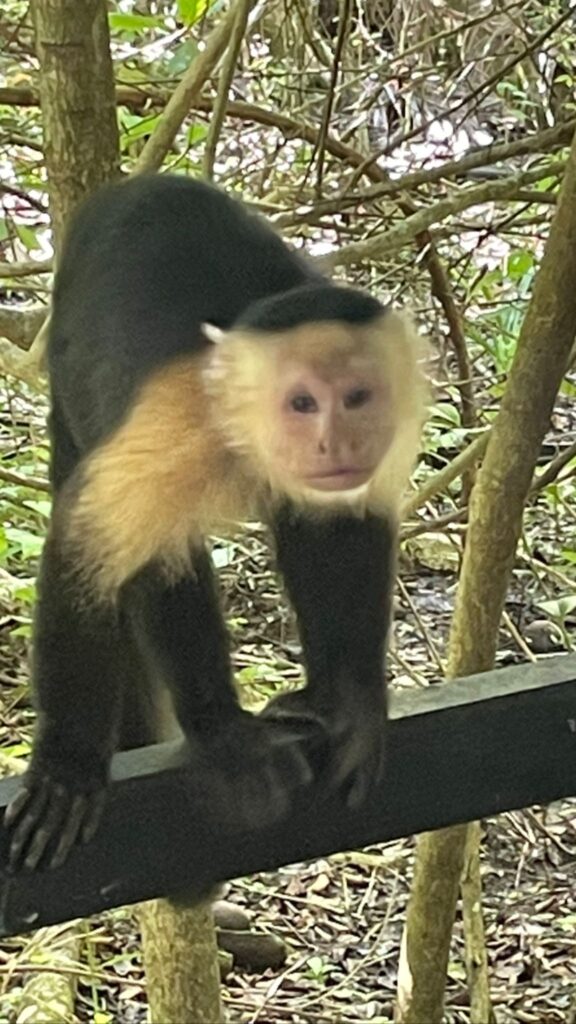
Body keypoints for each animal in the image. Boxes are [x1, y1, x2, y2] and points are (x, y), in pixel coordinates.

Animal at [4, 174, 426, 872]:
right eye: (302, 402)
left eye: (358, 398)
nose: (336, 442)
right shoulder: (180, 417)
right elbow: (87, 546)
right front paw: (70, 764)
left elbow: (345, 524)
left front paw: (350, 702)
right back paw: (215, 729)